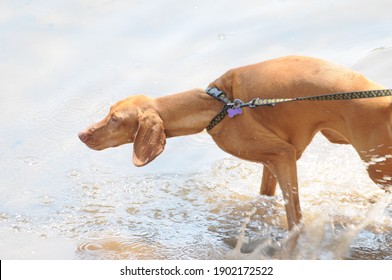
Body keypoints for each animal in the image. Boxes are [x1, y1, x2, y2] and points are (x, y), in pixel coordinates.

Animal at [78, 55, 390, 235]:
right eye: (108, 112)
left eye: (115, 120)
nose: (81, 134)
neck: (217, 106)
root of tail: (384, 99)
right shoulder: (273, 162)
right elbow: (265, 198)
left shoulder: (283, 155)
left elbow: (294, 220)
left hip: (379, 167)